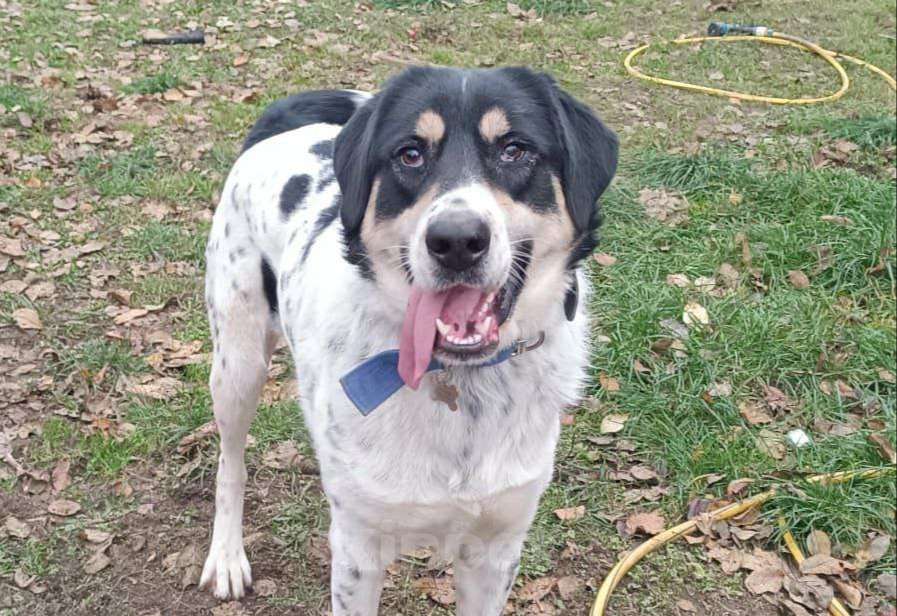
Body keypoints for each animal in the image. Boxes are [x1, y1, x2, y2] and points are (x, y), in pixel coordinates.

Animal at [200, 65, 617, 615]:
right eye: (410, 154)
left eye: (514, 149)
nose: (456, 240)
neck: (459, 379)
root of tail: (279, 126)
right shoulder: (358, 550)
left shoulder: (496, 549)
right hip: (238, 362)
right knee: (231, 463)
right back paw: (227, 555)